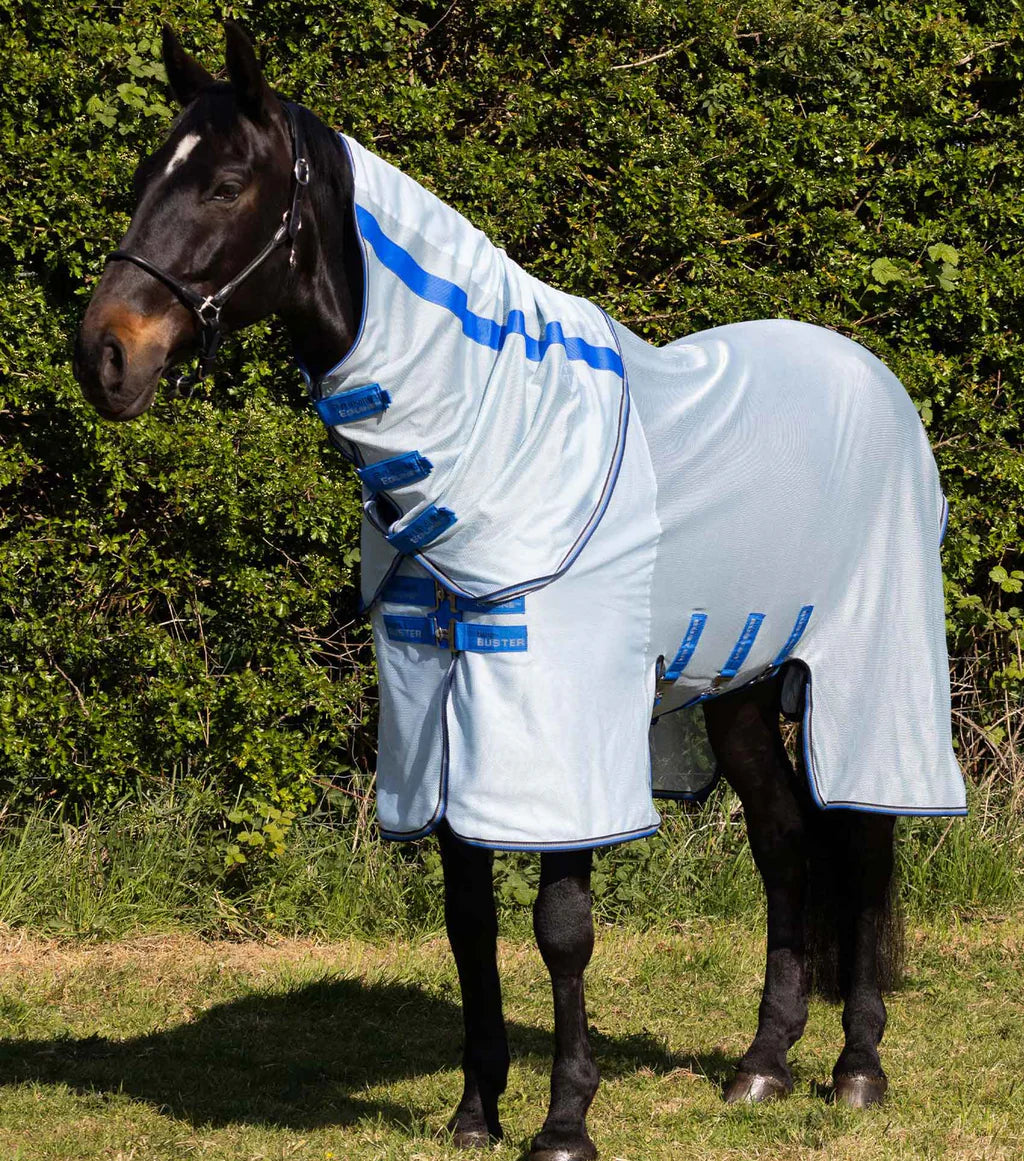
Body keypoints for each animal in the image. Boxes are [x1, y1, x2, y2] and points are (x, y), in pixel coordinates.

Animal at [74, 23, 966, 1160]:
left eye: (227, 184)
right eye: (149, 176)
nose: (103, 355)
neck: (499, 429)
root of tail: (871, 376)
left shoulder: (557, 712)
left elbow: (561, 929)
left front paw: (565, 1122)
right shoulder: (433, 709)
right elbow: (466, 921)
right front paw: (474, 1112)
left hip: (868, 665)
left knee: (865, 839)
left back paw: (856, 1072)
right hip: (739, 685)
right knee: (786, 847)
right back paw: (761, 1069)